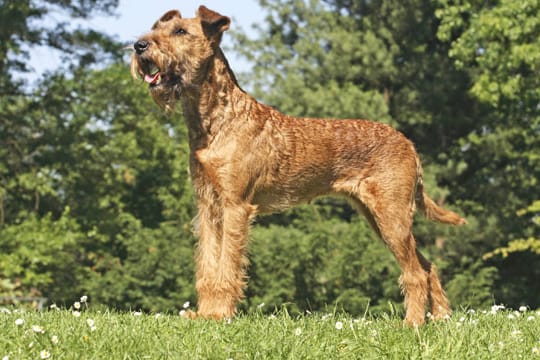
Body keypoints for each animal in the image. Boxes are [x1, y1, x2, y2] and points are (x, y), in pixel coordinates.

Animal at [131, 5, 464, 326]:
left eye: (180, 31)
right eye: (158, 27)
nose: (139, 45)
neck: (217, 120)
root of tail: (409, 145)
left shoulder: (235, 205)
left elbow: (227, 265)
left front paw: (220, 314)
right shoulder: (208, 205)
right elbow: (208, 265)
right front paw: (205, 314)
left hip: (391, 216)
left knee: (415, 272)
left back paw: (413, 323)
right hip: (380, 217)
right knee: (428, 265)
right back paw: (442, 317)